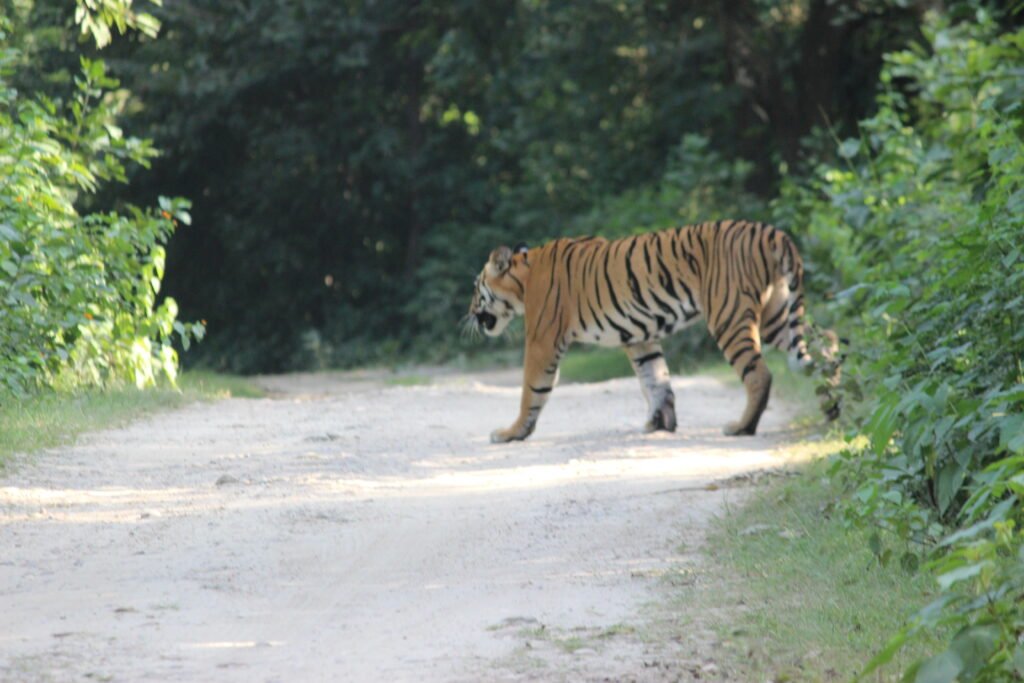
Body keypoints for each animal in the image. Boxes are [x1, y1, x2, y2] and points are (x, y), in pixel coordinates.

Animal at [466, 220, 841, 443]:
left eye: (475, 288)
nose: (469, 313)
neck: (523, 278)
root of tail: (771, 232)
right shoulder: (640, 337)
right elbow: (655, 379)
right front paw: (660, 423)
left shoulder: (542, 340)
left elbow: (532, 389)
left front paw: (512, 432)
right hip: (778, 314)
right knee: (827, 346)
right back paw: (833, 408)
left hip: (729, 315)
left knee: (760, 373)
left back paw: (742, 427)